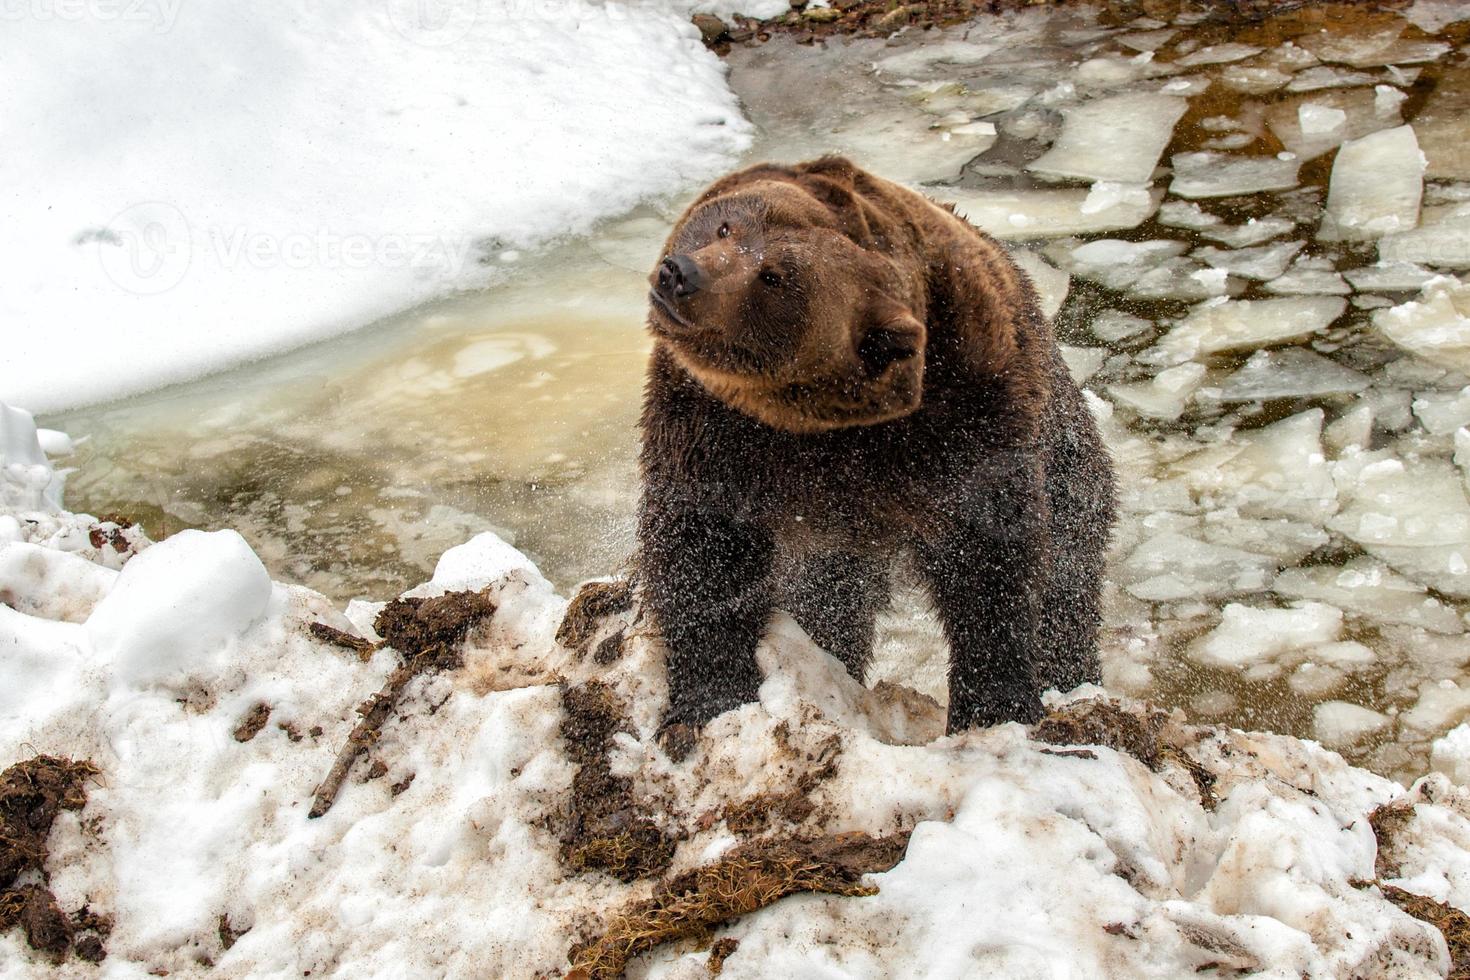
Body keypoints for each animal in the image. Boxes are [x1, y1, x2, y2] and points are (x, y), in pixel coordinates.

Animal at [635, 155, 1111, 752]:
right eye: (725, 227)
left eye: (774, 277)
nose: (680, 274)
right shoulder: (711, 424)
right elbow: (702, 550)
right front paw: (707, 700)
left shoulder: (969, 414)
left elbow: (991, 559)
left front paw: (994, 708)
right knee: (828, 598)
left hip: (1067, 451)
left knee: (1070, 573)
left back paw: (1072, 679)